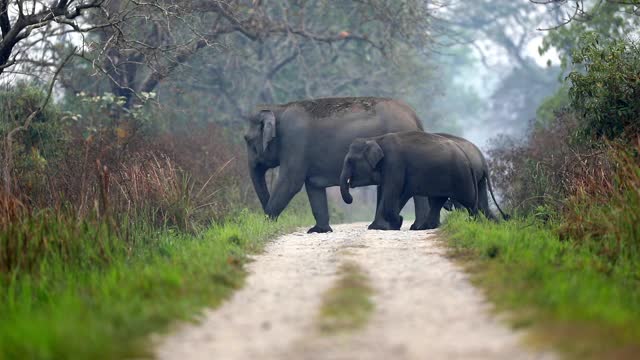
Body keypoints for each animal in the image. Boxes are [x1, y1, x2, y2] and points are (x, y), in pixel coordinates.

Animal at [245, 97, 430, 232]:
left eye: (247, 140)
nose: (270, 222)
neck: (278, 109)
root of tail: (415, 116)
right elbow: (313, 187)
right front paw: (318, 230)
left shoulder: (294, 142)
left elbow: (291, 182)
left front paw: (265, 225)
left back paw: (415, 227)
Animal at [342, 131, 478, 229]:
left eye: (350, 161)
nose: (351, 198)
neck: (376, 139)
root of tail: (467, 158)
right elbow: (393, 193)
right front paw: (387, 225)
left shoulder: (394, 163)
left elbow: (391, 191)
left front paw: (386, 225)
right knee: (438, 201)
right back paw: (425, 227)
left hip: (461, 176)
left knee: (469, 201)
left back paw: (477, 221)